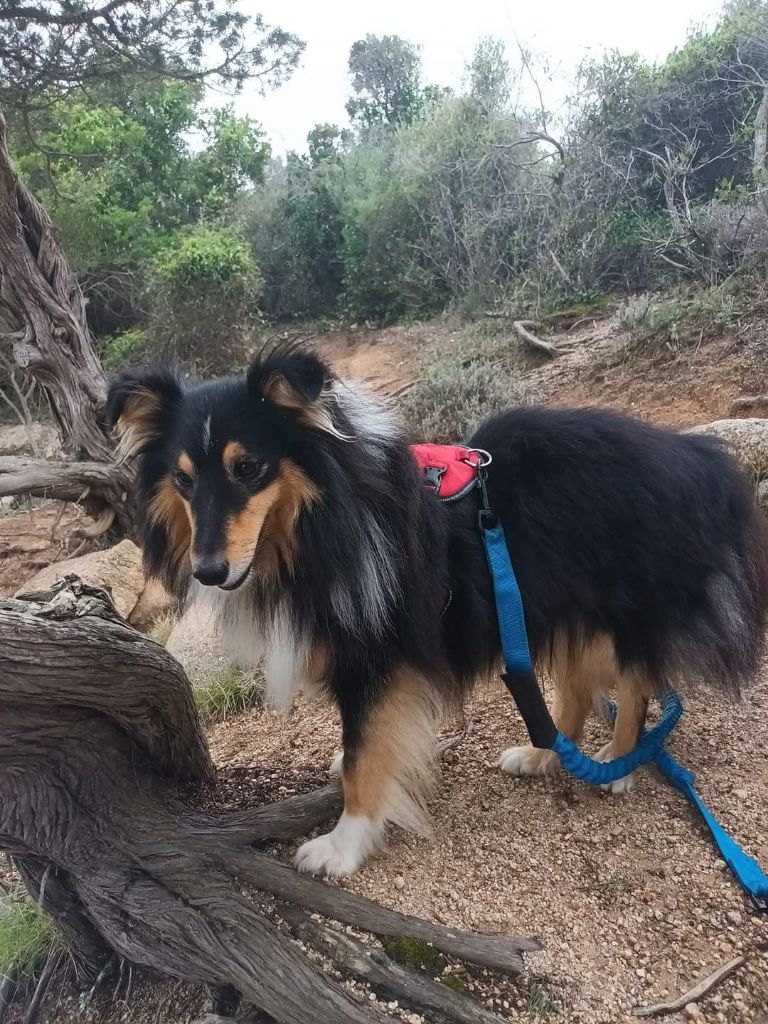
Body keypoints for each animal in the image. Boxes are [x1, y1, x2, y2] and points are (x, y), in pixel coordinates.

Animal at [107, 348, 768, 876]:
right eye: (184, 481)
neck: (326, 517)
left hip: (616, 611)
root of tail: (694, 454)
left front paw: (342, 846)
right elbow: (361, 743)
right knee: (575, 690)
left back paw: (620, 764)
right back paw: (544, 755)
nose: (208, 571)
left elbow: (365, 754)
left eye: (249, 468)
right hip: (547, 605)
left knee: (634, 685)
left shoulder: (380, 655)